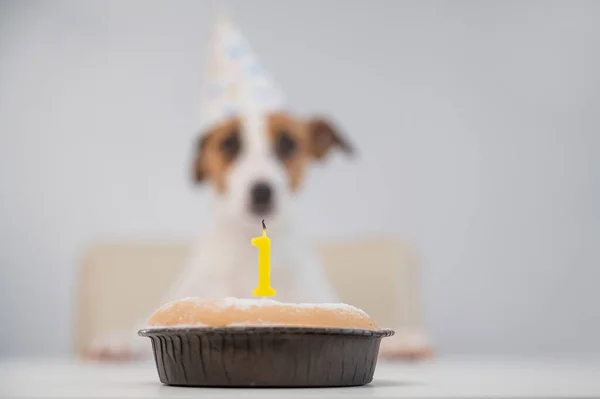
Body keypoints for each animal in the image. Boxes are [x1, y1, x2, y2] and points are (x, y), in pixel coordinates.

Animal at [84, 111, 432, 360]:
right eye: (229, 144)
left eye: (288, 143)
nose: (262, 190)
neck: (248, 249)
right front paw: (116, 342)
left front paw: (405, 341)